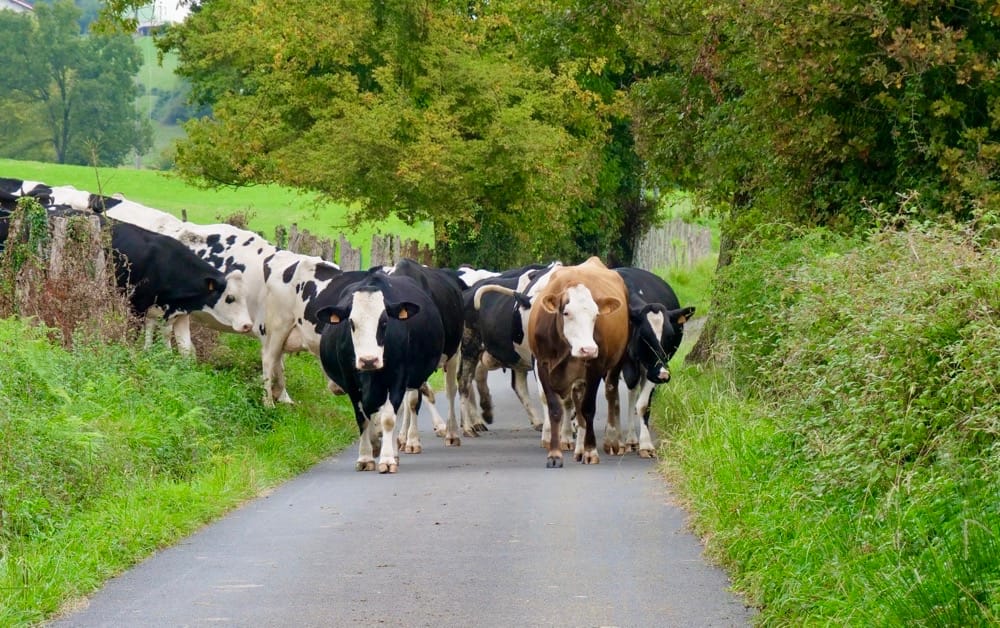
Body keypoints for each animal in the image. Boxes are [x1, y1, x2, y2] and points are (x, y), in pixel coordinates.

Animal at [315, 269, 445, 473]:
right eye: (351, 322)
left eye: (384, 322)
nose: (368, 360)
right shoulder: (351, 383)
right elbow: (362, 419)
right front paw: (366, 456)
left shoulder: (398, 379)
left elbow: (389, 419)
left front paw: (388, 459)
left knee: (407, 407)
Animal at [526, 256, 628, 468]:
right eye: (566, 313)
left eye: (596, 315)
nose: (588, 349)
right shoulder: (542, 365)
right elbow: (555, 409)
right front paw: (555, 454)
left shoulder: (595, 367)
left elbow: (588, 409)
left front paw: (590, 451)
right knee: (578, 407)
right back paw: (578, 448)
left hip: (615, 363)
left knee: (610, 393)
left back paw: (611, 441)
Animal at [614, 267, 695, 458]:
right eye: (644, 336)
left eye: (670, 336)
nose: (663, 374)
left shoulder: (651, 368)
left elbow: (643, 405)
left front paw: (645, 444)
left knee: (633, 394)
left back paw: (632, 439)